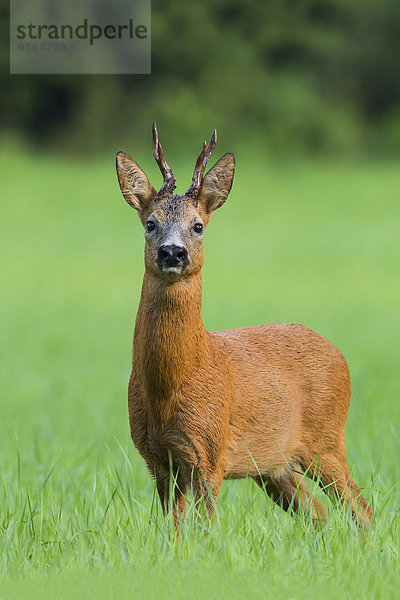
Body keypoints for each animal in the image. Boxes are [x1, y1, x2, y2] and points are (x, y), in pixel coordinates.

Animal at [116, 124, 372, 528]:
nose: (172, 252)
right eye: (150, 224)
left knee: (361, 510)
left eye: (198, 226)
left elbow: (205, 528)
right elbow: (172, 531)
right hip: (275, 466)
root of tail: (339, 354)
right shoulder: (158, 460)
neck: (173, 381)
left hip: (327, 439)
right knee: (317, 513)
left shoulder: (210, 453)